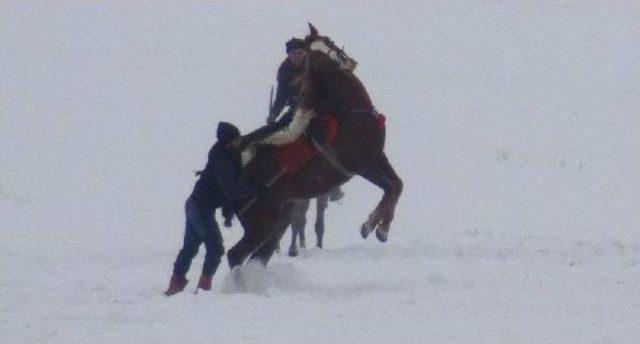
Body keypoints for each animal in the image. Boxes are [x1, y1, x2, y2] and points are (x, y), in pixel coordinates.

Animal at [228, 24, 402, 274]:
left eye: (328, 41)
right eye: (316, 54)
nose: (346, 60)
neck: (348, 112)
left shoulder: (378, 157)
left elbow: (396, 185)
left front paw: (376, 226)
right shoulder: (362, 164)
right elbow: (390, 186)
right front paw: (375, 227)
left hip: (276, 218)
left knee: (258, 254)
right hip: (263, 221)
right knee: (237, 254)